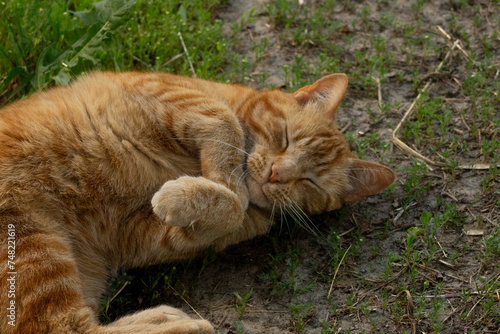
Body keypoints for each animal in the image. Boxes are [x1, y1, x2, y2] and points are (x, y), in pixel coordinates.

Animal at [0, 72, 394, 332]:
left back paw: (168, 318)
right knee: (58, 326)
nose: (276, 175)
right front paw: (224, 182)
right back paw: (180, 323)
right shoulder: (171, 92)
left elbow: (229, 211)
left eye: (308, 180)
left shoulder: (148, 237)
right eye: (285, 137)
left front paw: (196, 194)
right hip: (34, 248)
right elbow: (226, 126)